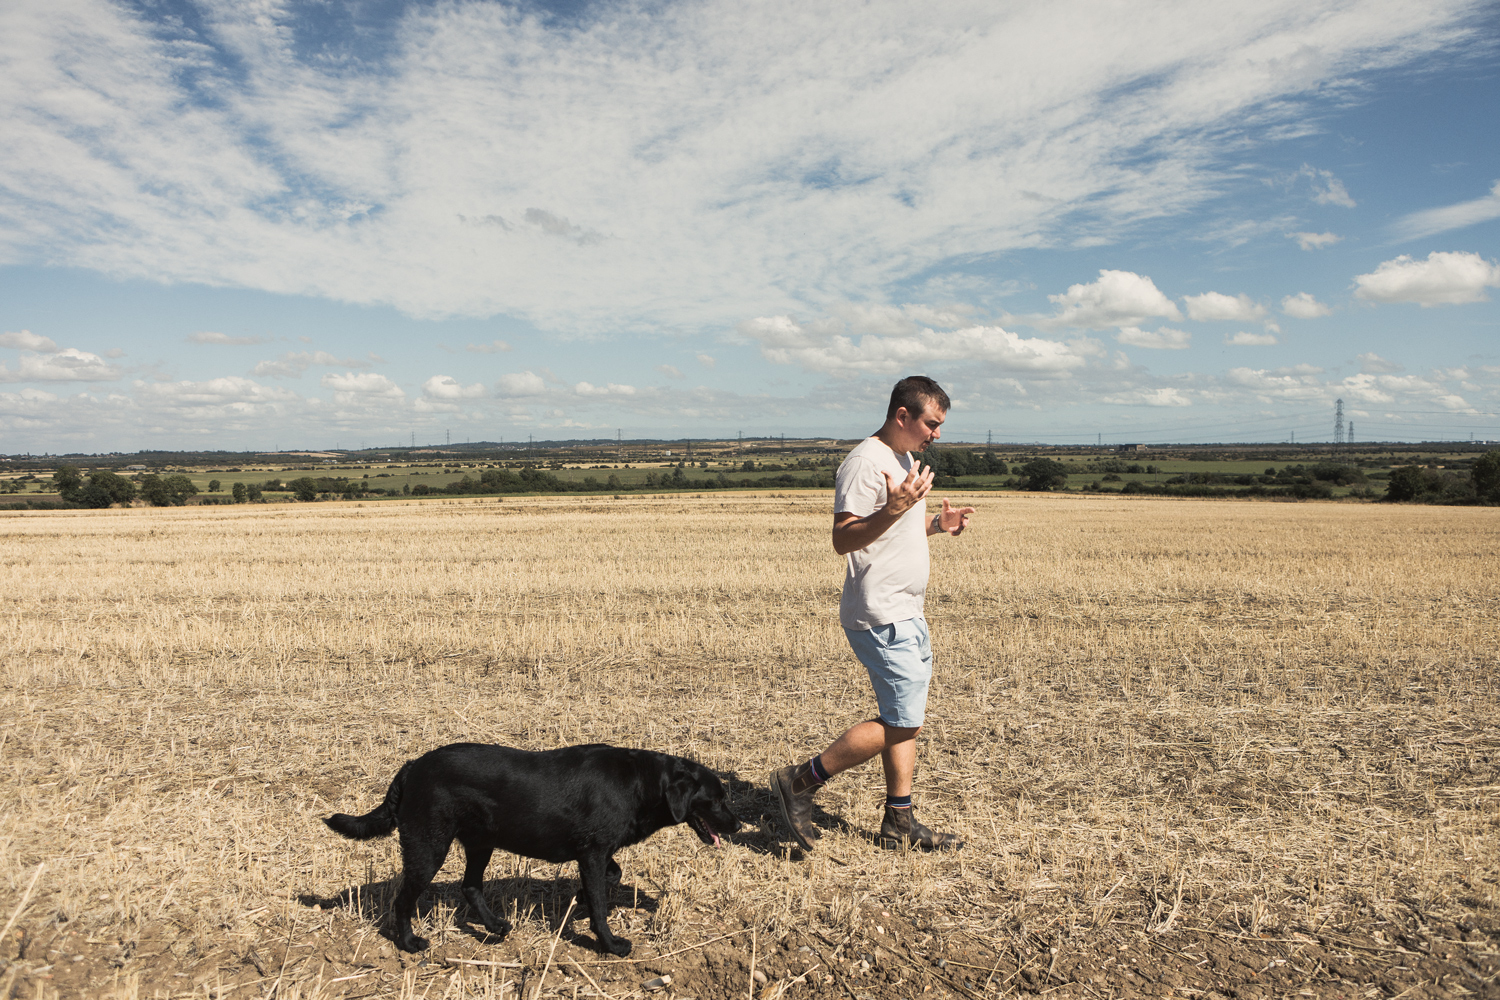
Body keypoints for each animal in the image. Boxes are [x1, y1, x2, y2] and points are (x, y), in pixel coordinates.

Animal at [322, 743, 738, 953]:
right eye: (716, 800)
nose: (738, 825)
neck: (641, 782)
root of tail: (412, 767)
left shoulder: (596, 852)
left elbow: (611, 877)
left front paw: (578, 902)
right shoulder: (592, 852)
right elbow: (602, 905)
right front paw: (609, 943)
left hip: (481, 842)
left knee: (470, 886)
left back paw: (494, 927)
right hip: (428, 847)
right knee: (403, 899)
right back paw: (409, 943)